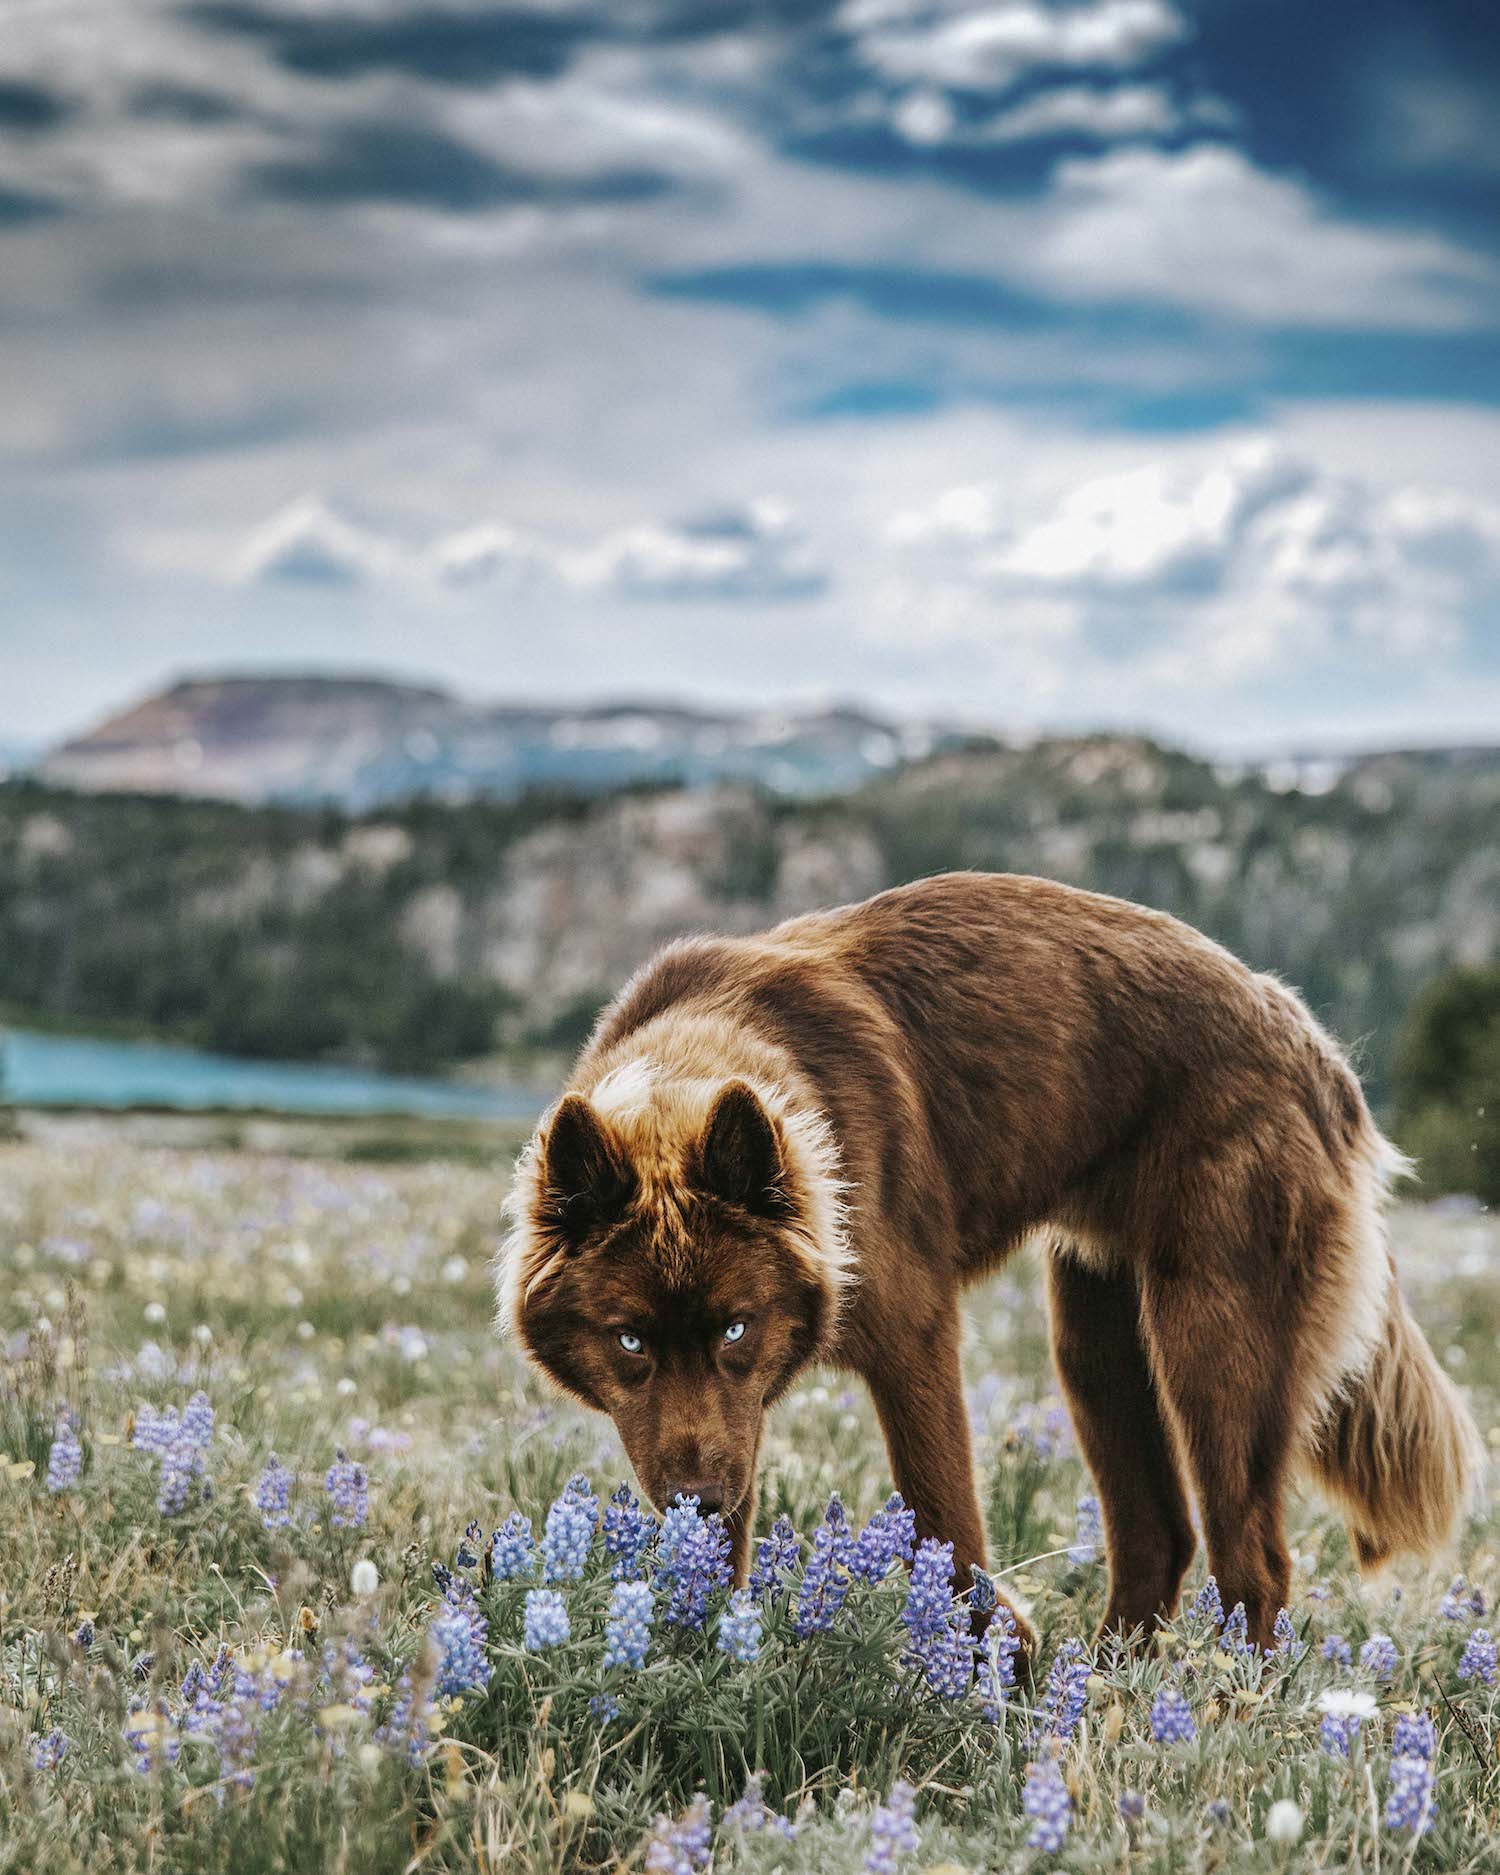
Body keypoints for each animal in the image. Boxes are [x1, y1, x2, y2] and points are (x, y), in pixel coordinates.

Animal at [498, 866, 1485, 1657]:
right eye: (629, 1342)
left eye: (736, 1327)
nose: (695, 1498)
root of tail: (1316, 1048)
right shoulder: (729, 1417)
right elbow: (725, 1550)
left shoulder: (910, 1336)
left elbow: (943, 1520)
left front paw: (992, 1660)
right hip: (1094, 1332)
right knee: (1158, 1534)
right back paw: (1110, 1693)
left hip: (1212, 1337)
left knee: (1255, 1564)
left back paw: (1220, 1709)